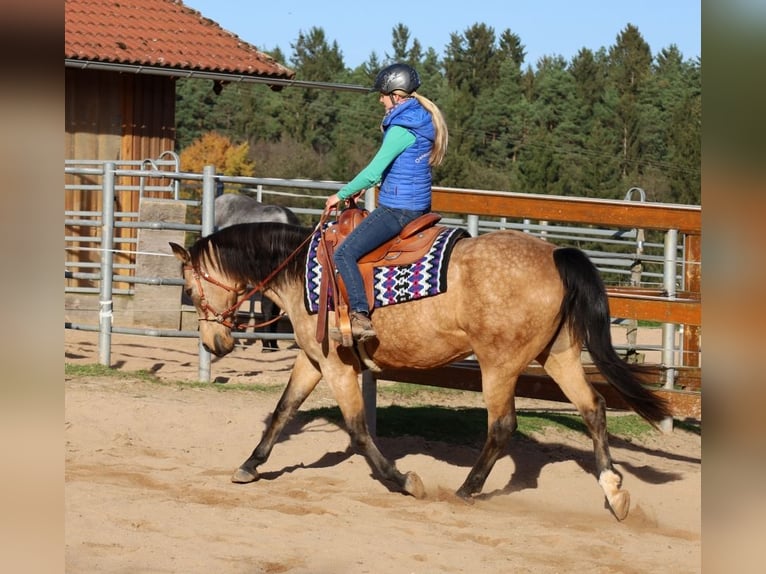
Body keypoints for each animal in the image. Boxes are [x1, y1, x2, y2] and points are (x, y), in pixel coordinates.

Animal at [171, 215, 668, 520]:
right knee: (594, 409)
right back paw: (614, 492)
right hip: (558, 355)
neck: (303, 273)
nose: (214, 343)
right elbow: (282, 411)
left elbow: (357, 429)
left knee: (502, 425)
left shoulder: (335, 365)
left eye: (191, 291)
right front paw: (250, 465)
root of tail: (554, 255)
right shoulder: (313, 360)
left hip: (499, 364)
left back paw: (467, 489)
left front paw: (403, 480)